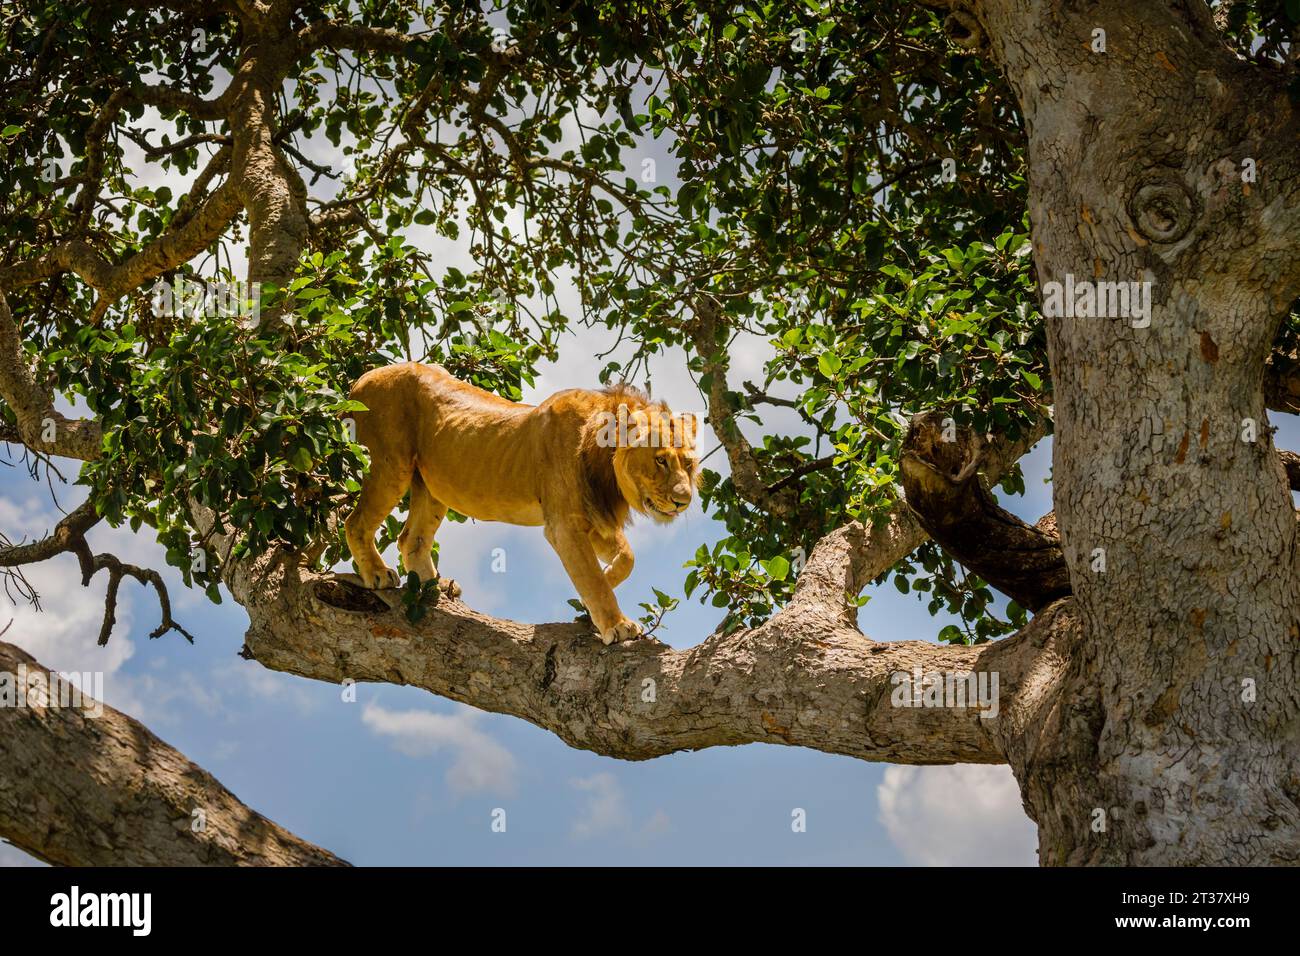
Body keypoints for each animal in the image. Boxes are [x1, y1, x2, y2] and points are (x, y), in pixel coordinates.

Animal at [340, 361, 696, 647]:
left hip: (430, 484)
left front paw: (589, 601)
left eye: (689, 464)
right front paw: (616, 625)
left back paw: (435, 586)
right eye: (661, 460)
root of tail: (362, 378)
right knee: (356, 522)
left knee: (411, 539)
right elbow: (593, 580)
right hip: (390, 464)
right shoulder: (564, 524)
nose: (683, 501)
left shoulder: (592, 517)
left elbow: (626, 559)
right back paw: (377, 574)